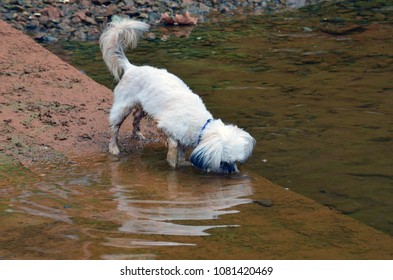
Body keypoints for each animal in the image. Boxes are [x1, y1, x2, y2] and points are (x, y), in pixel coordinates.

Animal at [99, 15, 256, 173]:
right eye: (223, 162)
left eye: (237, 162)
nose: (233, 171)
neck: (201, 126)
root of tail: (131, 68)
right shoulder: (167, 129)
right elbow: (174, 150)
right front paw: (173, 163)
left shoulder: (184, 139)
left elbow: (181, 154)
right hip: (122, 108)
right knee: (115, 128)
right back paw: (114, 148)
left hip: (143, 107)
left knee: (136, 118)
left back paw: (137, 134)